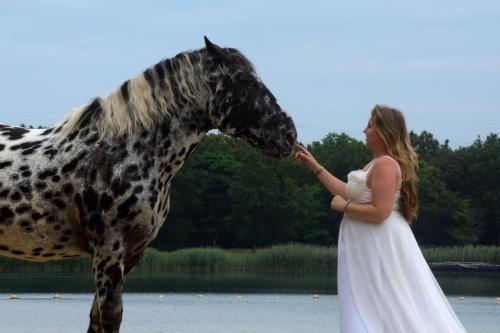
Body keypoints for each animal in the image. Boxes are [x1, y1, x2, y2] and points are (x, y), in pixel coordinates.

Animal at [0, 37, 296, 332]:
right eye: (244, 80)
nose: (288, 133)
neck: (126, 151)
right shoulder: (109, 250)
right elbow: (109, 316)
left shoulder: (132, 254)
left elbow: (96, 317)